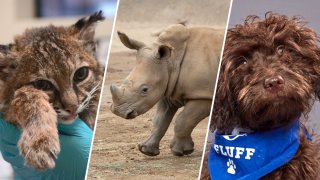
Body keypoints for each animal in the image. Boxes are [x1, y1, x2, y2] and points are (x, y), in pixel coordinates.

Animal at [109, 23, 222, 156]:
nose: (118, 111)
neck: (171, 61)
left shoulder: (204, 95)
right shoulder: (168, 87)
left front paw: (180, 151)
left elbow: (184, 120)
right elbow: (160, 120)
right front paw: (146, 150)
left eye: (145, 89)